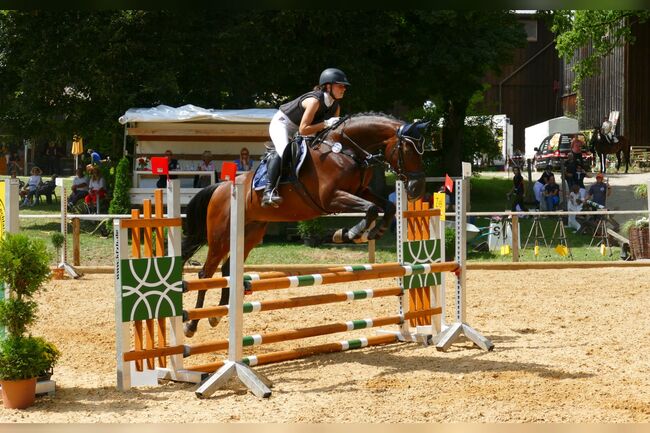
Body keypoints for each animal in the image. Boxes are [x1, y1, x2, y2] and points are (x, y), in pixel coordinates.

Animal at [180, 113, 428, 336]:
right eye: (408, 150)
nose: (416, 189)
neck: (345, 149)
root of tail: (221, 188)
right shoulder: (331, 198)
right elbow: (371, 209)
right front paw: (350, 233)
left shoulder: (360, 191)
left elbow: (385, 206)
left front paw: (372, 232)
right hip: (220, 236)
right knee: (205, 273)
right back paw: (192, 325)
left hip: (249, 233)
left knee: (226, 270)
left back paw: (217, 314)